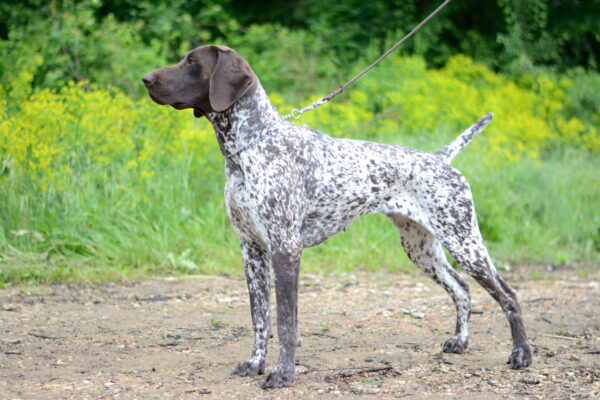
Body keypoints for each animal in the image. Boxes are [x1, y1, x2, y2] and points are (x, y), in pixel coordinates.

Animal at [143, 44, 532, 388]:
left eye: (192, 62)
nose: (146, 78)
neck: (249, 147)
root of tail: (440, 157)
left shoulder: (285, 248)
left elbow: (285, 323)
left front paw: (283, 375)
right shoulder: (251, 249)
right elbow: (260, 318)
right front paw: (255, 364)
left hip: (465, 242)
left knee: (509, 295)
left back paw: (521, 355)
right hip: (421, 248)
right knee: (461, 288)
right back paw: (461, 342)